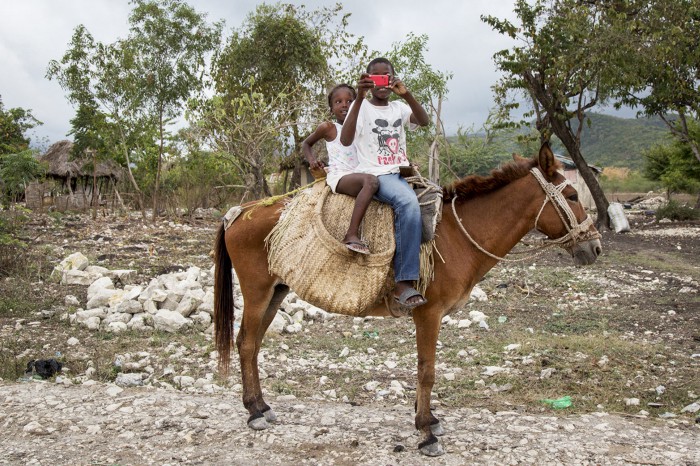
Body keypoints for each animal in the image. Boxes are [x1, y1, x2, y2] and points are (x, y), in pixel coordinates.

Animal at [212, 143, 600, 456]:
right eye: (573, 196)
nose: (595, 247)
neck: (457, 235)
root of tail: (238, 212)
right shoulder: (428, 313)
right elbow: (427, 371)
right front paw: (427, 434)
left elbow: (424, 370)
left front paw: (426, 419)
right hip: (257, 291)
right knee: (246, 343)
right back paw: (254, 413)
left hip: (276, 292)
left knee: (252, 345)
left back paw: (261, 407)